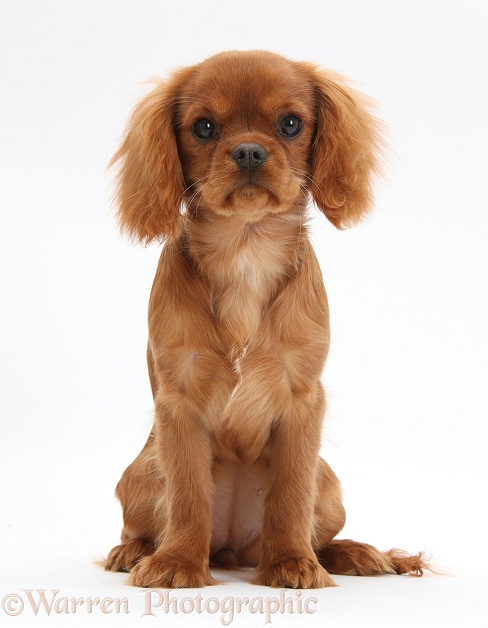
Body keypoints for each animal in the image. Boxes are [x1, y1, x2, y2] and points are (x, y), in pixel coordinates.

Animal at [104, 50, 428, 588]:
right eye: (204, 127)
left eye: (291, 124)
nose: (250, 151)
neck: (245, 250)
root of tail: (233, 550)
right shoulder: (179, 402)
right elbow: (188, 494)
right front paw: (177, 563)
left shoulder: (302, 400)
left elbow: (289, 494)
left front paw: (291, 563)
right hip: (140, 476)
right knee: (146, 522)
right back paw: (135, 551)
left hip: (329, 485)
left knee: (320, 529)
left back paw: (352, 554)